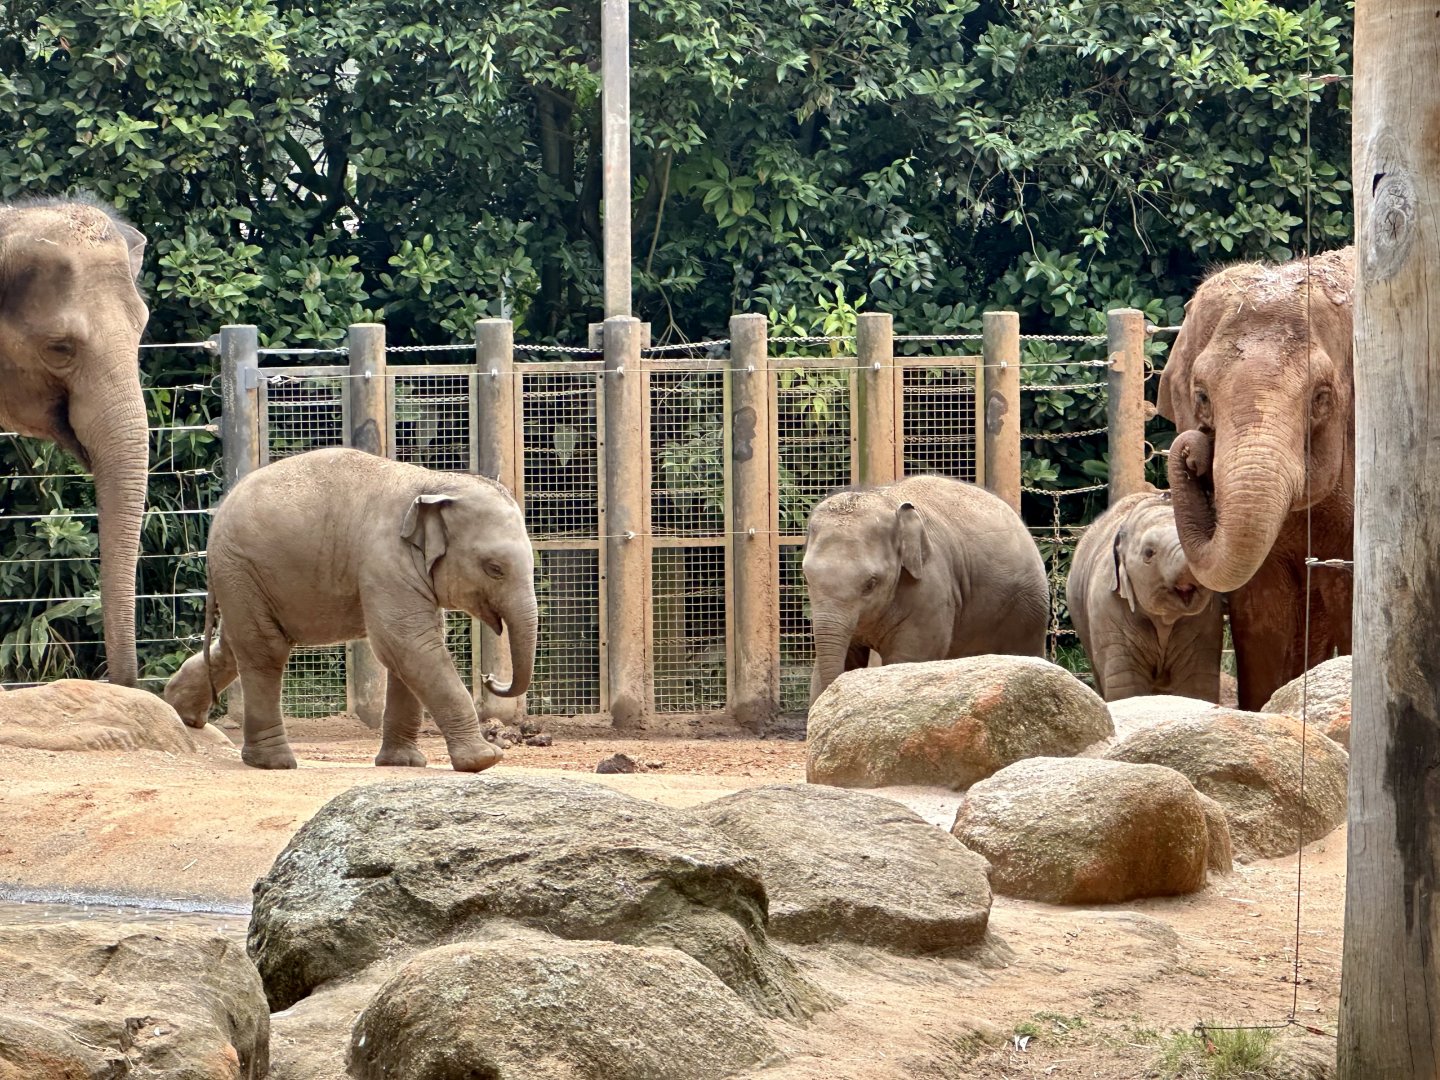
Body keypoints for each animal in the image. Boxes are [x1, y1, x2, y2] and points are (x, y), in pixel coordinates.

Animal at [164, 447, 537, 771]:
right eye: (494, 568)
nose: (489, 677)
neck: (433, 481)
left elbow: (409, 650)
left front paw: (403, 763)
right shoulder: (384, 559)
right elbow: (407, 644)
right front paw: (484, 760)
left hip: (243, 578)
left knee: (235, 645)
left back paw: (181, 710)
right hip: (241, 567)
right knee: (265, 650)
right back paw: (274, 763)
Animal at [802, 474, 1049, 704]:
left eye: (871, 583)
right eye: (807, 578)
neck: (886, 500)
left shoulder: (930, 586)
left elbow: (908, 658)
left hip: (1028, 607)